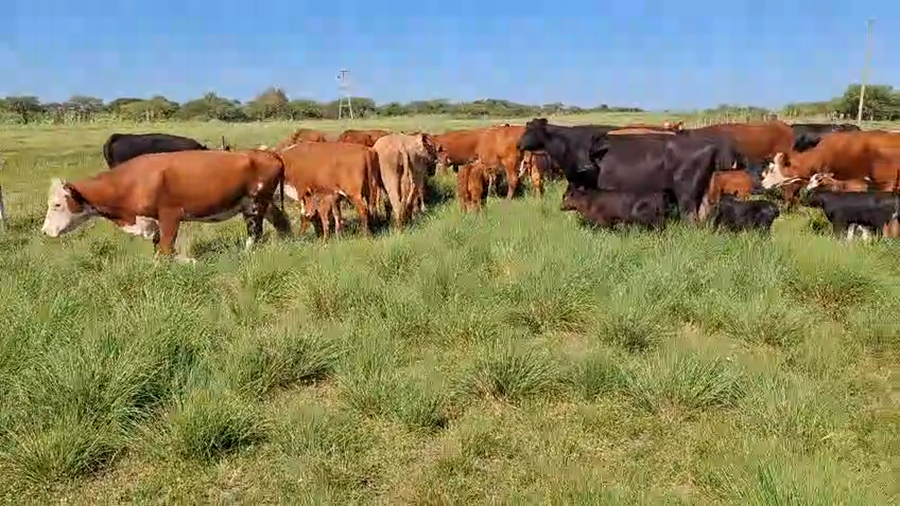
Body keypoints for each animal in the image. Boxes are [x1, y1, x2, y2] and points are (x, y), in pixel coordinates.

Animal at [41, 150, 291, 263]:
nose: (44, 231)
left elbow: (166, 250)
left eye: (57, 204)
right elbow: (159, 249)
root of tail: (267, 152)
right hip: (261, 203)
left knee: (255, 232)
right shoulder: (154, 221)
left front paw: (190, 262)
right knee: (281, 221)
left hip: (255, 204)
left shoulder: (170, 216)